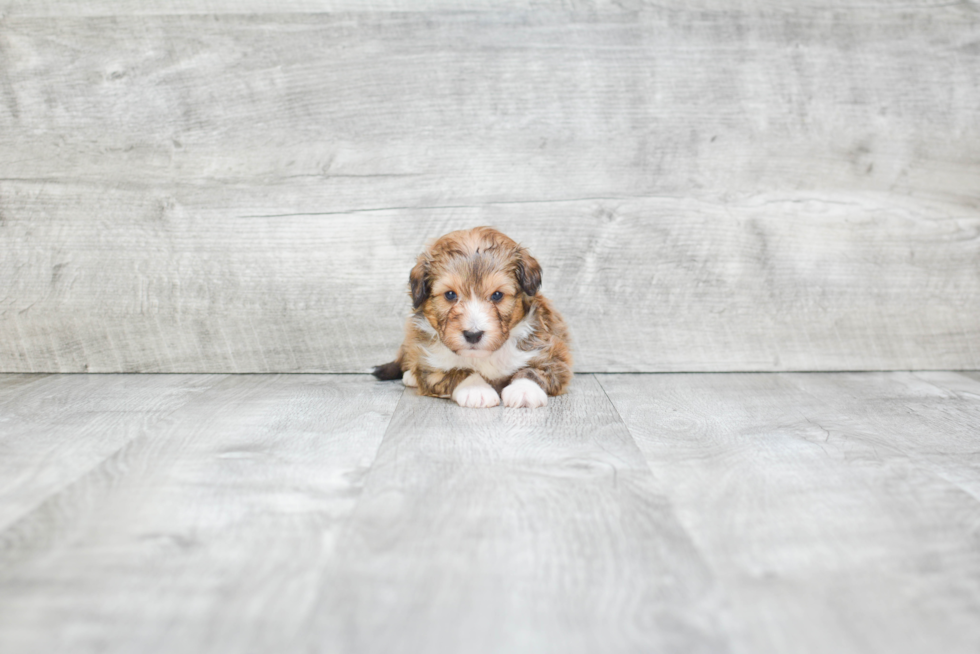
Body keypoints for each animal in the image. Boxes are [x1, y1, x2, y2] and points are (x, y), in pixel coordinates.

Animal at [376, 228, 576, 408]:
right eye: (450, 294)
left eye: (497, 295)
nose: (473, 335)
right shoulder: (429, 365)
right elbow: (456, 371)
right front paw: (475, 390)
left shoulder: (555, 355)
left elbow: (533, 371)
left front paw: (524, 390)